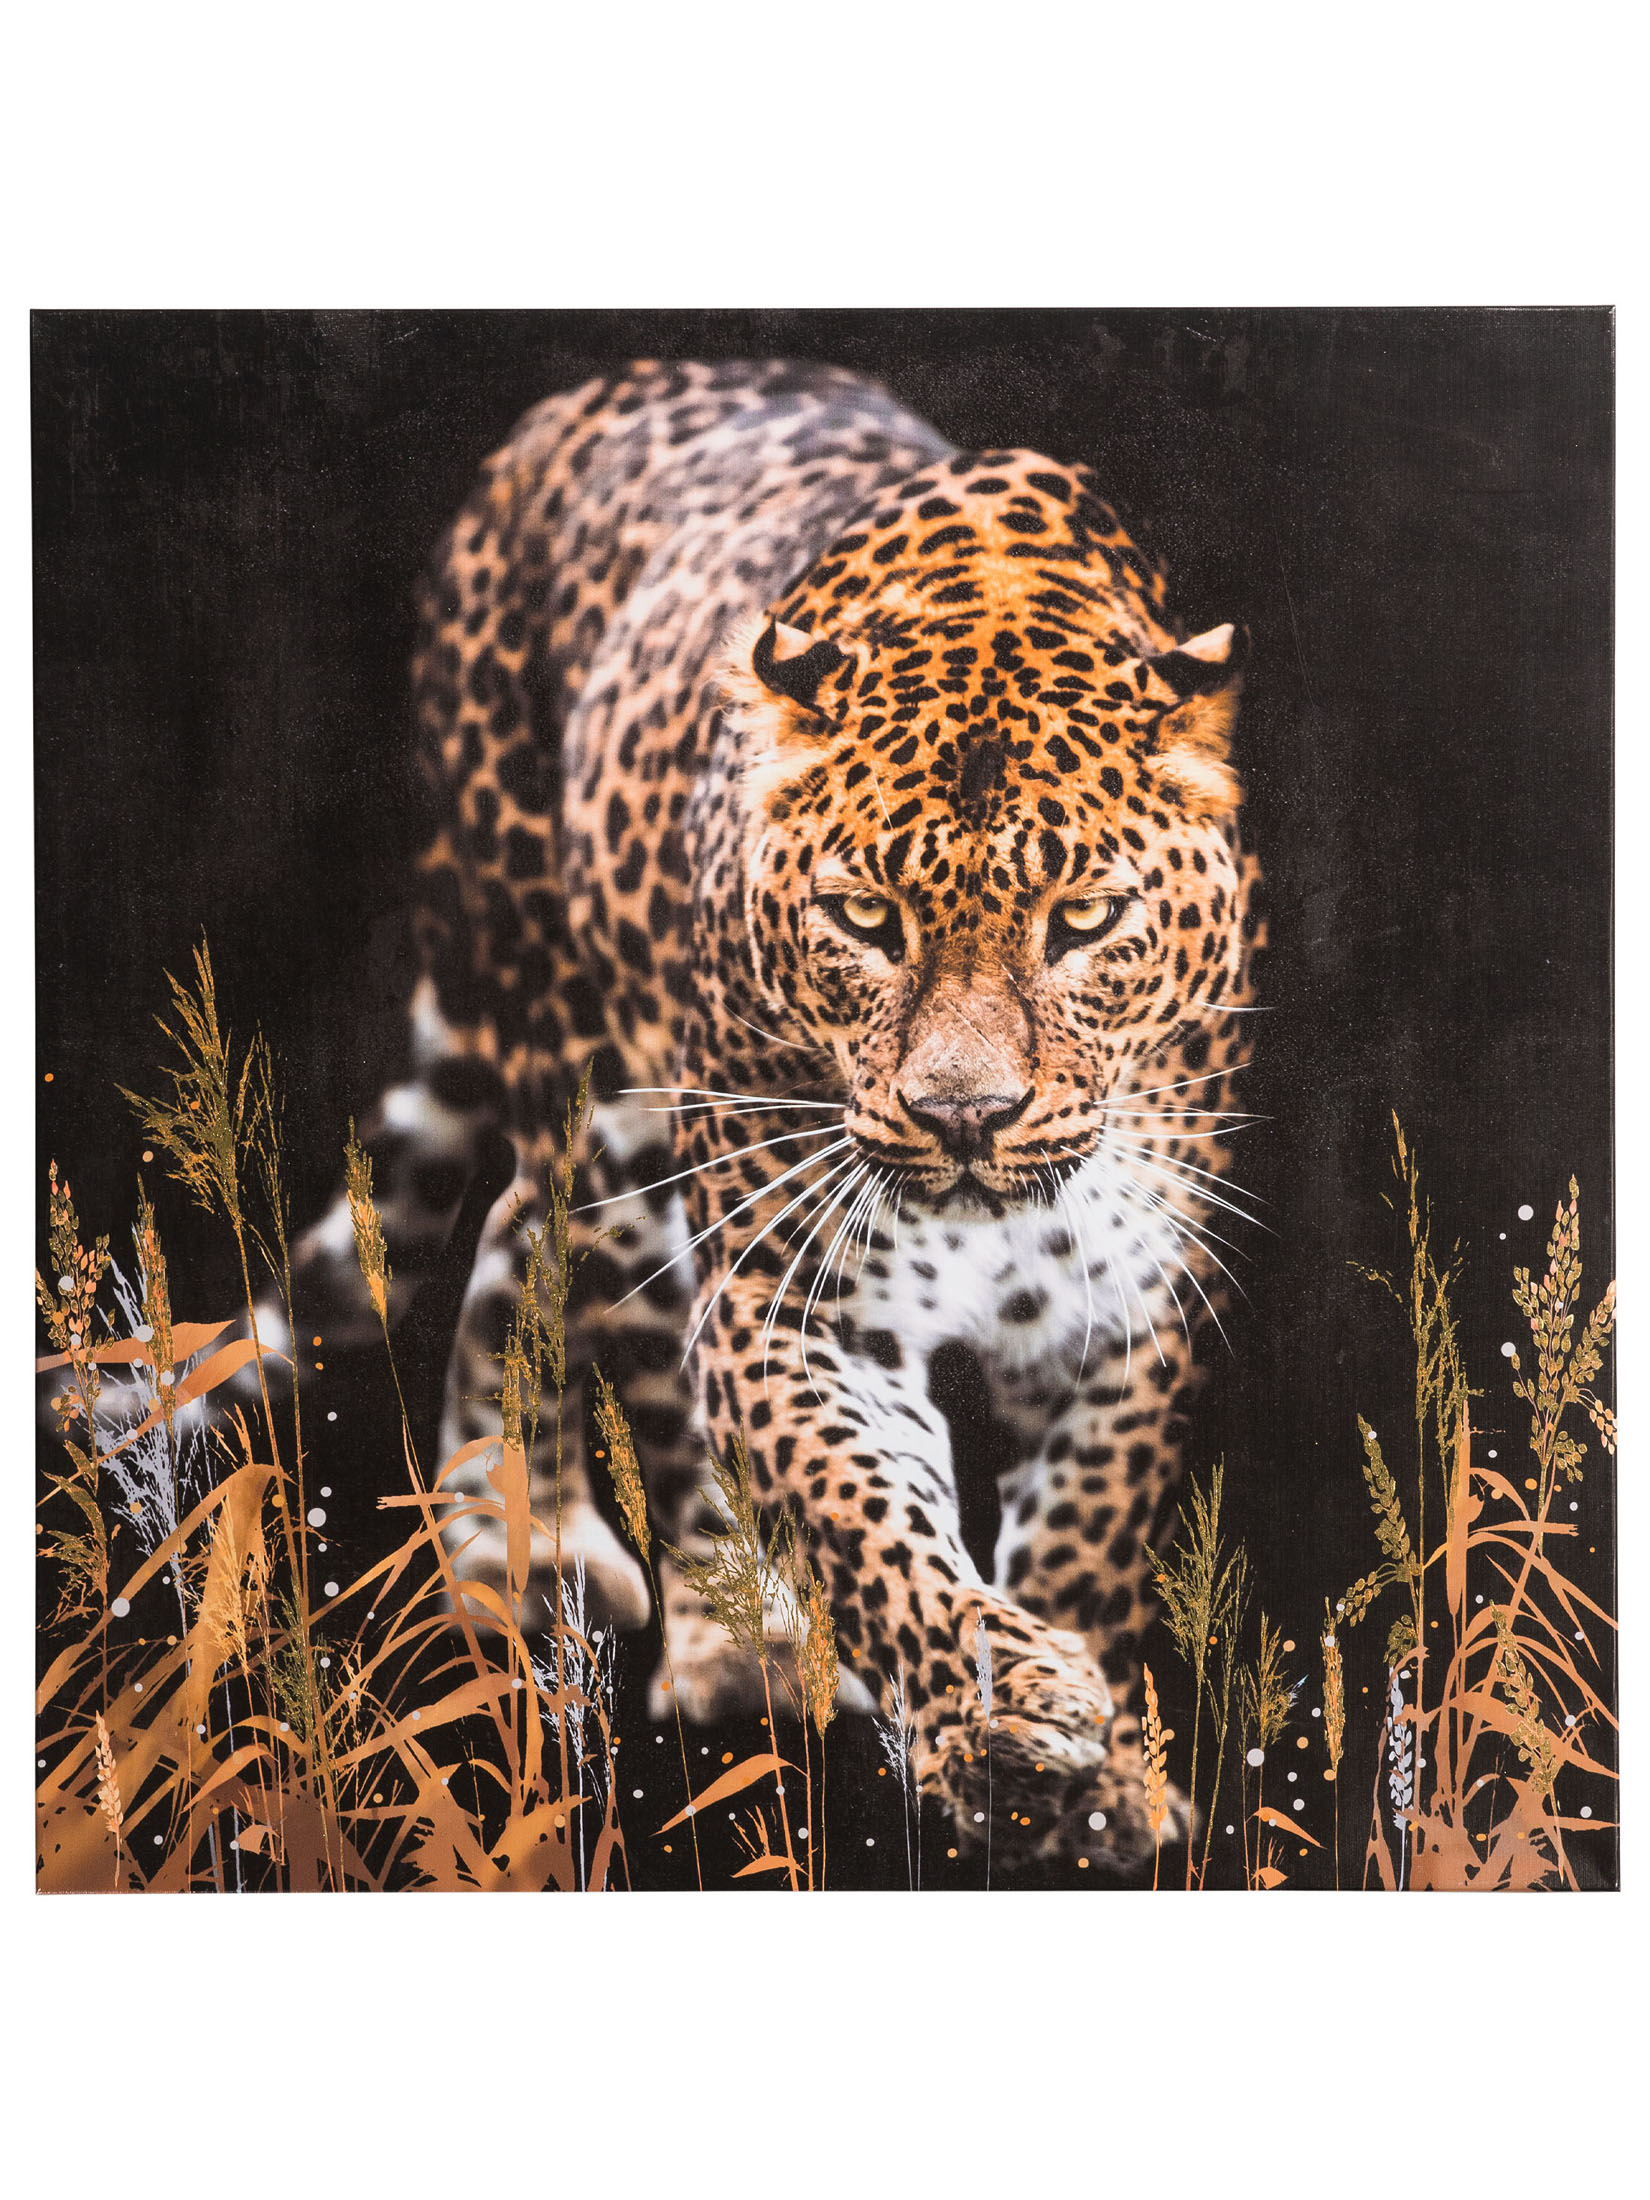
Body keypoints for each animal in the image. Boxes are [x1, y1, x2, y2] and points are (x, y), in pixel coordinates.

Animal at [280, 357, 1264, 1876]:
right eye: (864, 917)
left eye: (1085, 920)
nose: (965, 1117)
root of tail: (577, 399)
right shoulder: (793, 1298)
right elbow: (863, 1514)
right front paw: (1004, 1710)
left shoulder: (1133, 1297)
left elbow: (1093, 1524)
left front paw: (1101, 1770)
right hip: (606, 1098)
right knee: (618, 1315)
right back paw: (692, 1614)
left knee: (516, 1230)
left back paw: (512, 1529)